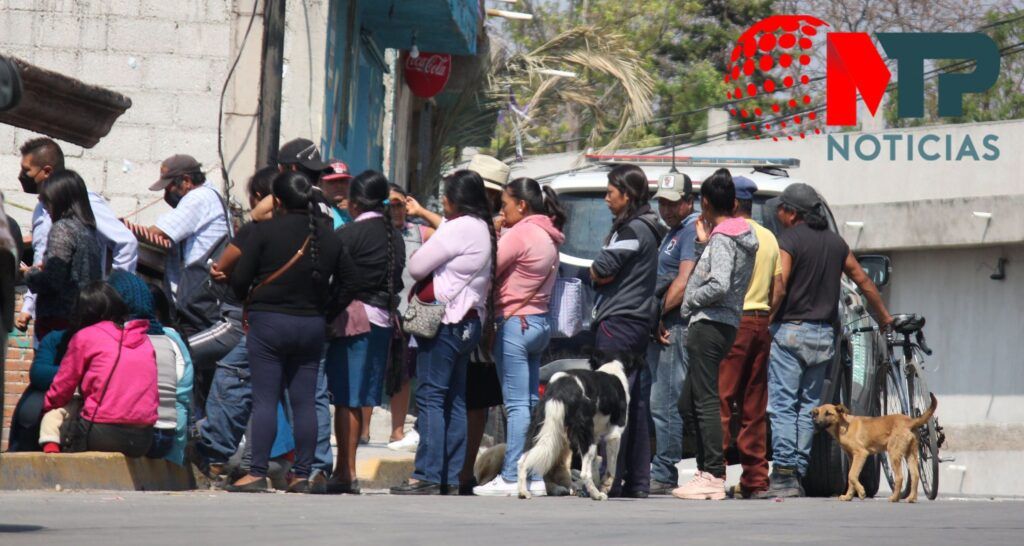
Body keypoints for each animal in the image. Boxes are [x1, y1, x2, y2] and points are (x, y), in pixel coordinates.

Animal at [516, 360, 626, 499]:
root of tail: (559, 389)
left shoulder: (595, 436)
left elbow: (595, 464)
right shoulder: (614, 434)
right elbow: (612, 467)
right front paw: (604, 486)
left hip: (537, 427)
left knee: (522, 461)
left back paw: (523, 492)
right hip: (584, 434)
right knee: (584, 473)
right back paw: (596, 495)